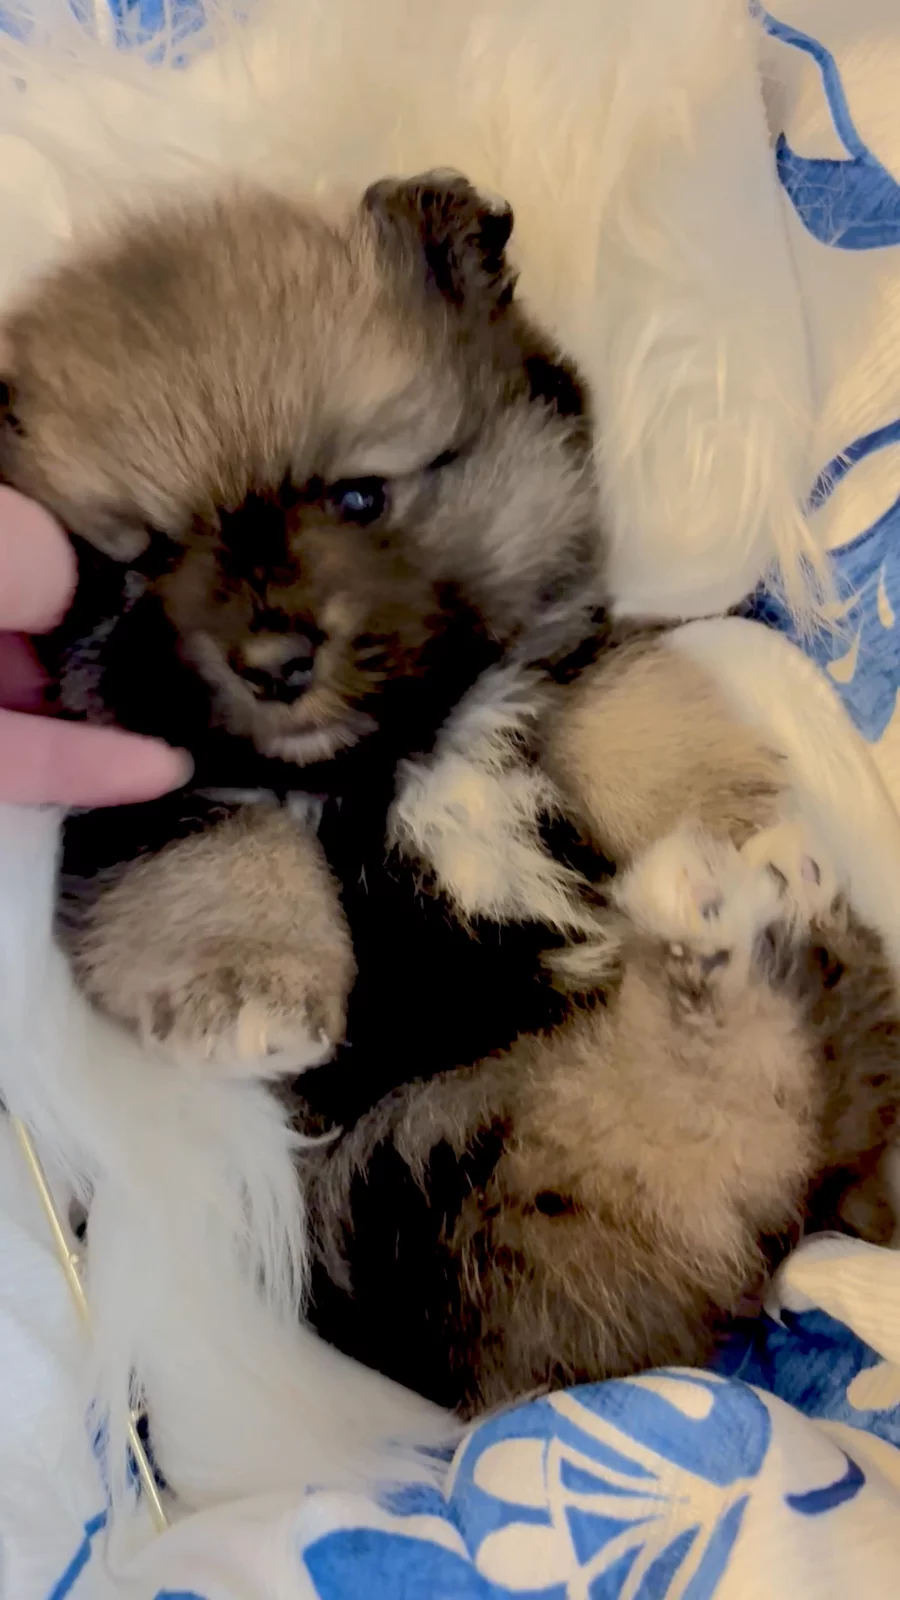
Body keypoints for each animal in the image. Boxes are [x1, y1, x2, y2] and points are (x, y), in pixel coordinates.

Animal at [2, 171, 898, 1419]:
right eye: (143, 564)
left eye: (359, 496)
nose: (272, 660)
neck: (389, 754)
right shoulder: (154, 795)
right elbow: (218, 850)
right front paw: (249, 993)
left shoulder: (558, 666)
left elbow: (639, 717)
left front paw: (744, 823)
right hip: (444, 1177)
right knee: (704, 1117)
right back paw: (703, 927)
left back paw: (730, 903)